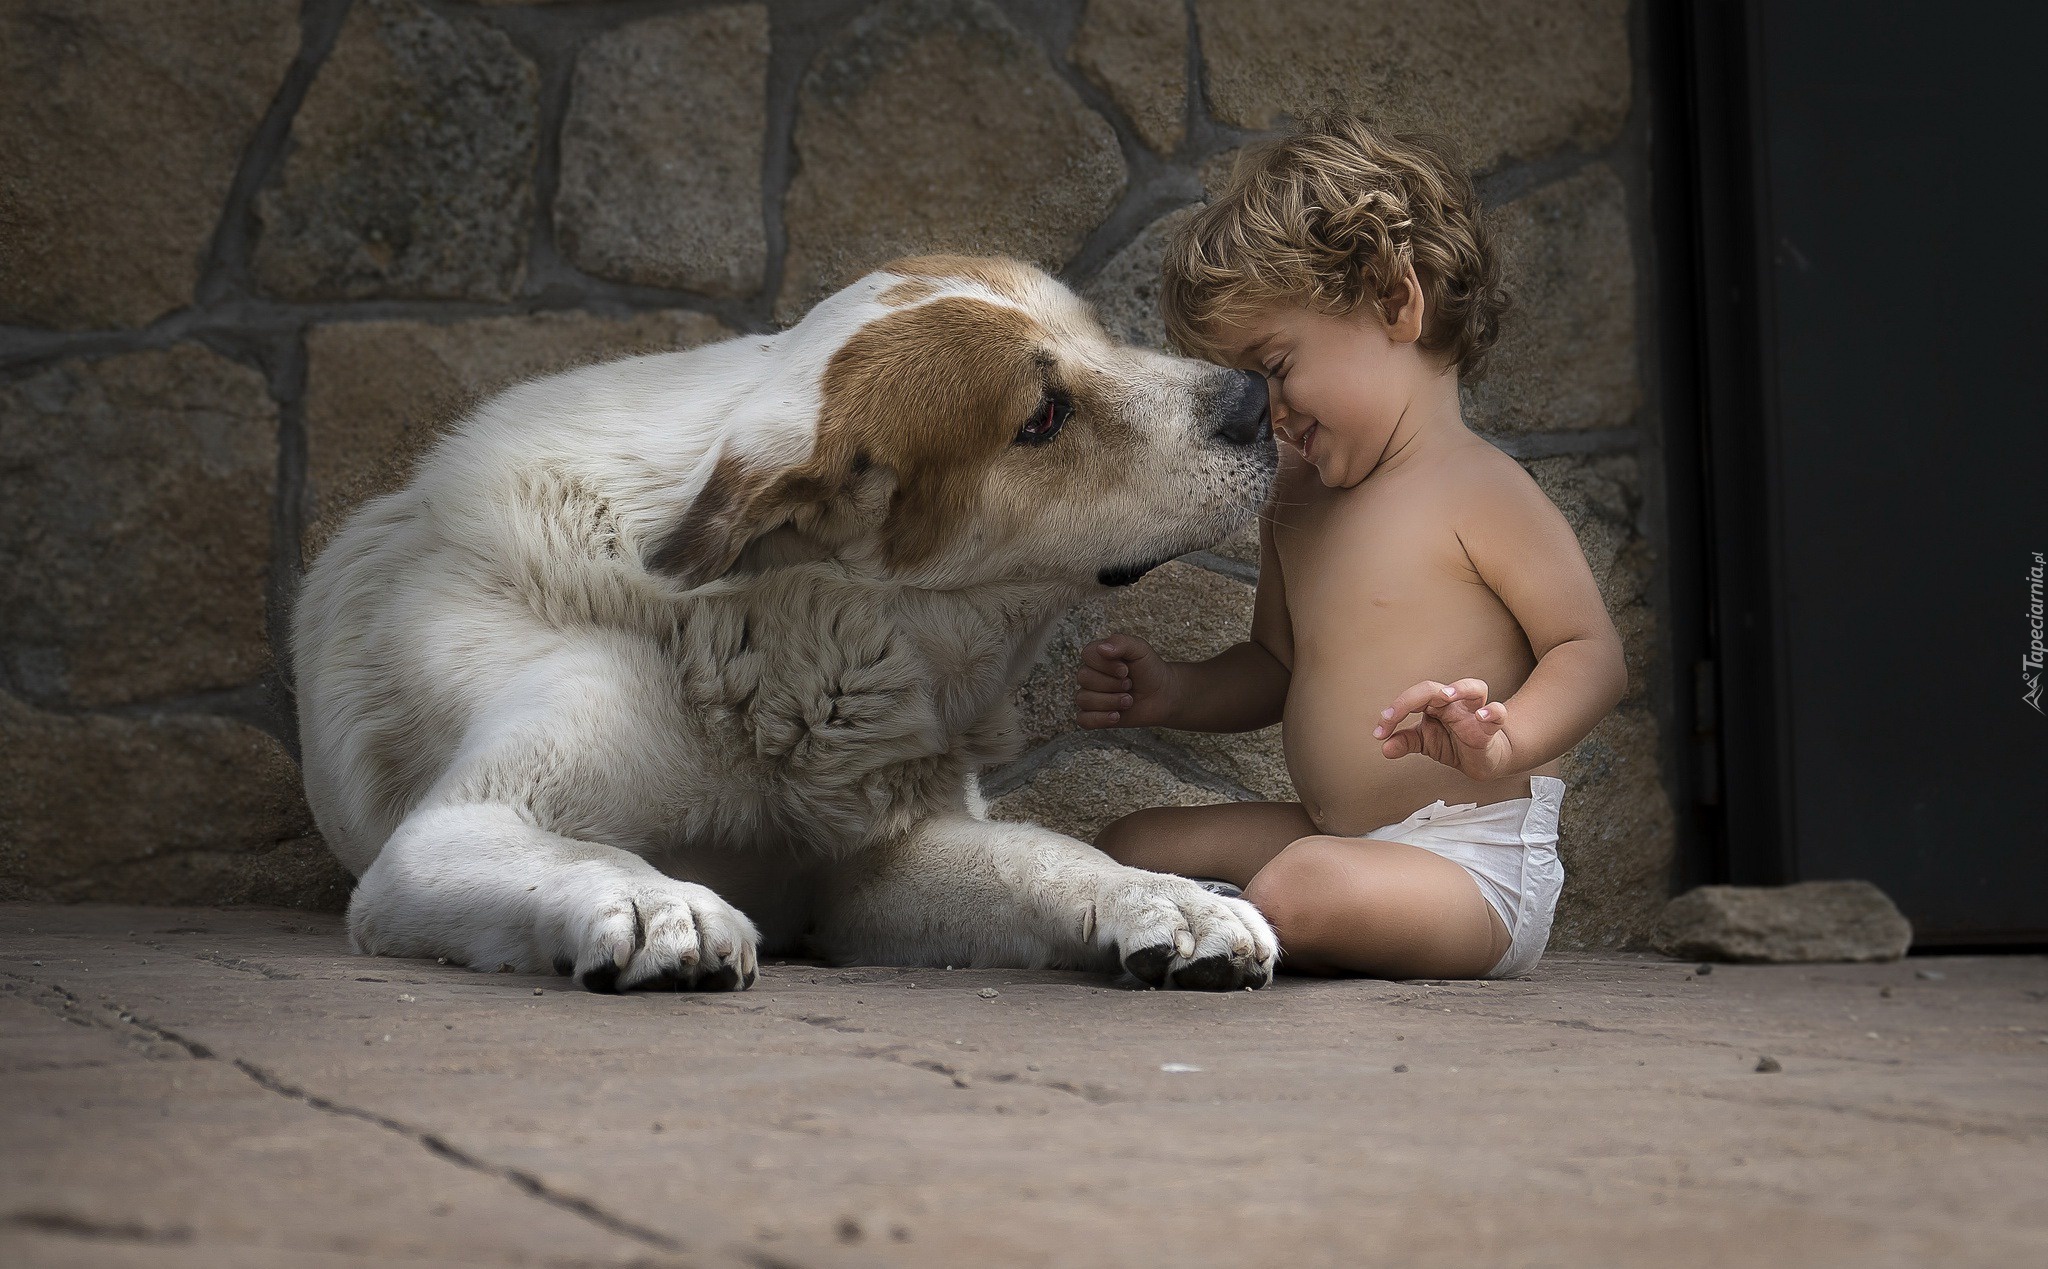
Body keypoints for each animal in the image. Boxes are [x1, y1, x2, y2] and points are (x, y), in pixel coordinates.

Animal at [292, 254, 1277, 990]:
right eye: (1044, 415)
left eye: (1102, 335)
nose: (1256, 400)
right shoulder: (443, 837)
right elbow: (578, 854)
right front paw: (659, 901)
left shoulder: (875, 865)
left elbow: (1039, 853)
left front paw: (1164, 893)